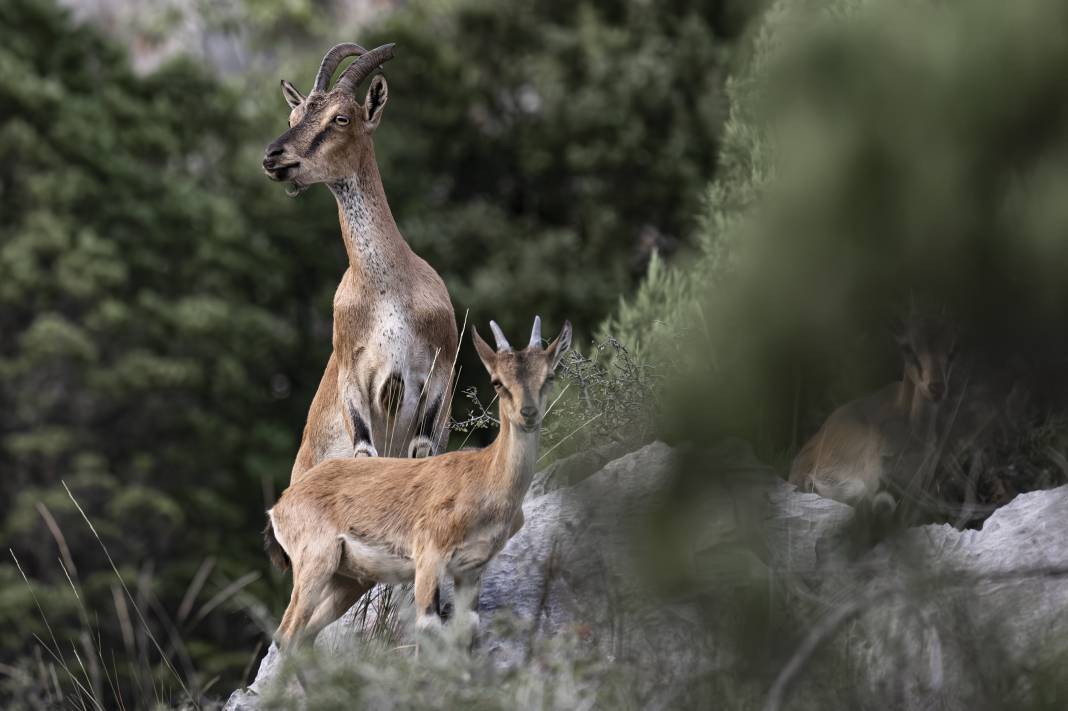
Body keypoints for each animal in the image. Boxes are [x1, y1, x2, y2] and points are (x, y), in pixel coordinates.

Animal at [263, 316, 572, 640]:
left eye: (550, 375)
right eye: (497, 381)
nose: (529, 413)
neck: (485, 477)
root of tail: (279, 507)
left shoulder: (470, 570)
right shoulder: (428, 557)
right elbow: (428, 626)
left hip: (347, 579)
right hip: (315, 562)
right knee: (287, 632)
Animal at [264, 42, 457, 476]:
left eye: (341, 117)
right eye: (293, 117)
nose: (273, 157)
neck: (387, 290)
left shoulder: (438, 369)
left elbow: (422, 449)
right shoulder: (352, 376)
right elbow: (364, 452)